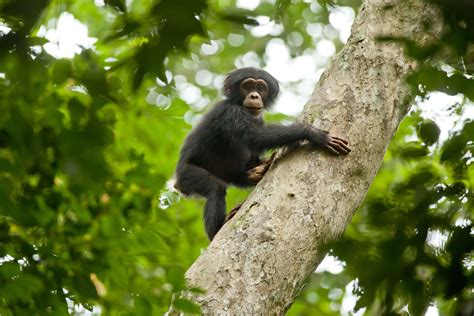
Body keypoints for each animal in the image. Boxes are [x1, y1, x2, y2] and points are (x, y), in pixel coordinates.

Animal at [173, 66, 348, 239]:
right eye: (248, 86)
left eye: (261, 88)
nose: (254, 95)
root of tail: (177, 184)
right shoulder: (231, 112)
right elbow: (255, 136)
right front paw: (312, 133)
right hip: (187, 175)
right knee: (215, 188)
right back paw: (217, 228)